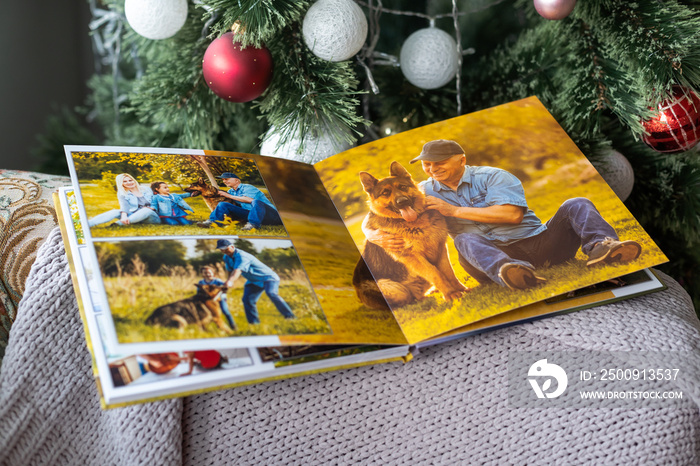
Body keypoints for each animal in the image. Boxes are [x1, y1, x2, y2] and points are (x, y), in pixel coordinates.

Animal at [352, 161, 468, 310]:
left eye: (403, 187)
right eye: (385, 193)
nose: (402, 201)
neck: (413, 224)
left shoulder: (441, 249)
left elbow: (448, 272)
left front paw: (460, 289)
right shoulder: (415, 258)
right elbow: (435, 274)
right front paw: (451, 294)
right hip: (394, 288)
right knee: (407, 299)